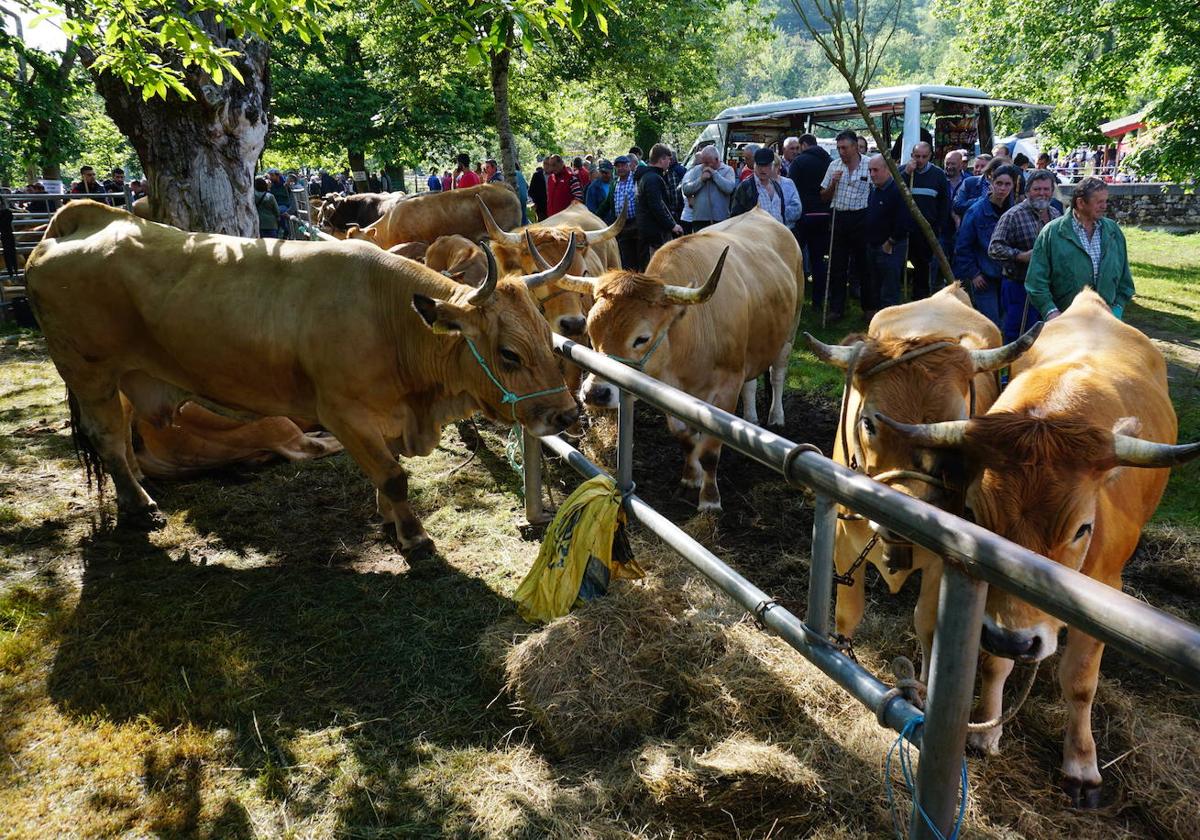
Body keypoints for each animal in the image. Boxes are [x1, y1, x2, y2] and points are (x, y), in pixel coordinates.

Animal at [23, 200, 576, 554]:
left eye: (548, 338)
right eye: (508, 354)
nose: (566, 415)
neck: (388, 318)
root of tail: (78, 221)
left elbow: (389, 468)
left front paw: (389, 518)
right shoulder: (342, 412)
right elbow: (394, 475)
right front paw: (414, 536)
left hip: (122, 378)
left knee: (118, 440)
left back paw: (133, 494)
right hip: (88, 371)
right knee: (107, 438)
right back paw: (141, 507)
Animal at [556, 208, 801, 511]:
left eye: (641, 338)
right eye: (591, 331)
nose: (595, 393)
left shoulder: (726, 388)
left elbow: (709, 451)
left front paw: (709, 500)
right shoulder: (668, 391)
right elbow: (684, 437)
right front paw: (690, 477)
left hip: (789, 332)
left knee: (777, 373)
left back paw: (776, 416)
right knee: (752, 382)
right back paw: (751, 418)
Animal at [806, 284, 1041, 681]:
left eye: (957, 425)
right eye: (868, 422)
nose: (906, 511)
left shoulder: (940, 567)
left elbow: (928, 625)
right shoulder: (842, 544)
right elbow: (847, 614)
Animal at [883, 290, 1200, 806]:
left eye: (1083, 528)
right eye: (971, 512)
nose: (1017, 639)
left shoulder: (1105, 589)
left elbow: (1080, 681)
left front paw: (1082, 765)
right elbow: (994, 662)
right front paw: (985, 731)